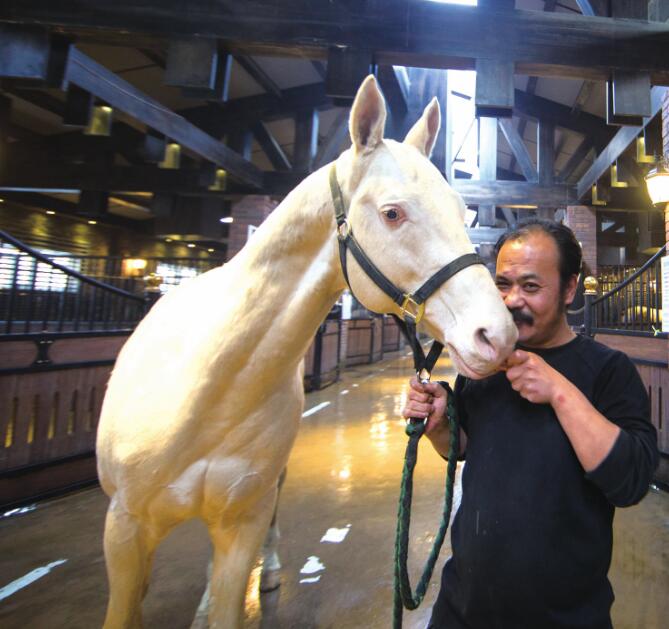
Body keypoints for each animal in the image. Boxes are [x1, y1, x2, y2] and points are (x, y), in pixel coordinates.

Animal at [95, 74, 517, 628]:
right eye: (392, 213)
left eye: (460, 209)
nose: (497, 334)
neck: (204, 386)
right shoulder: (123, 531)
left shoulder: (242, 524)